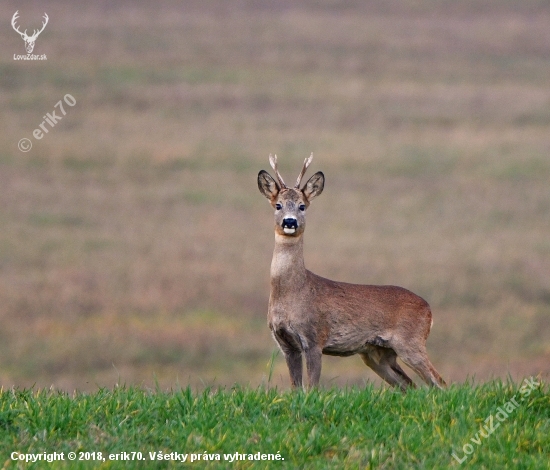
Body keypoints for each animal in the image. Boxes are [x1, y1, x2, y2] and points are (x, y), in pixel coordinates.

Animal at [260, 154, 448, 390]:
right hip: (377, 353)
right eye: (278, 205)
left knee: (439, 382)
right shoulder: (286, 344)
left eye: (302, 206)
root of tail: (429, 310)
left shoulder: (315, 337)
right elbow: (297, 389)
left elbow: (312, 387)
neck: (293, 292)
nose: (290, 221)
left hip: (410, 342)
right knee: (410, 386)